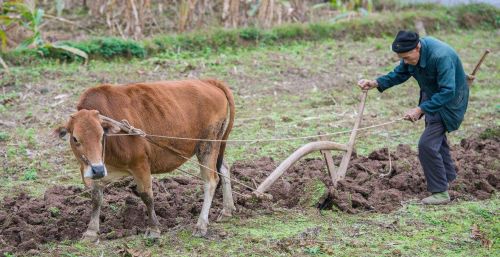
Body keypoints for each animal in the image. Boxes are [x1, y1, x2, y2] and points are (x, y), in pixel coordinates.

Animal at [55, 78, 235, 240]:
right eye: (75, 139)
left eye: (101, 136)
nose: (97, 169)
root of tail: (208, 82)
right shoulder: (98, 170)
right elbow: (96, 198)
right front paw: (91, 232)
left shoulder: (140, 164)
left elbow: (147, 196)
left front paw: (154, 229)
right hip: (215, 145)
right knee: (223, 167)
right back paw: (227, 210)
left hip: (207, 144)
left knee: (211, 180)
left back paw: (201, 225)